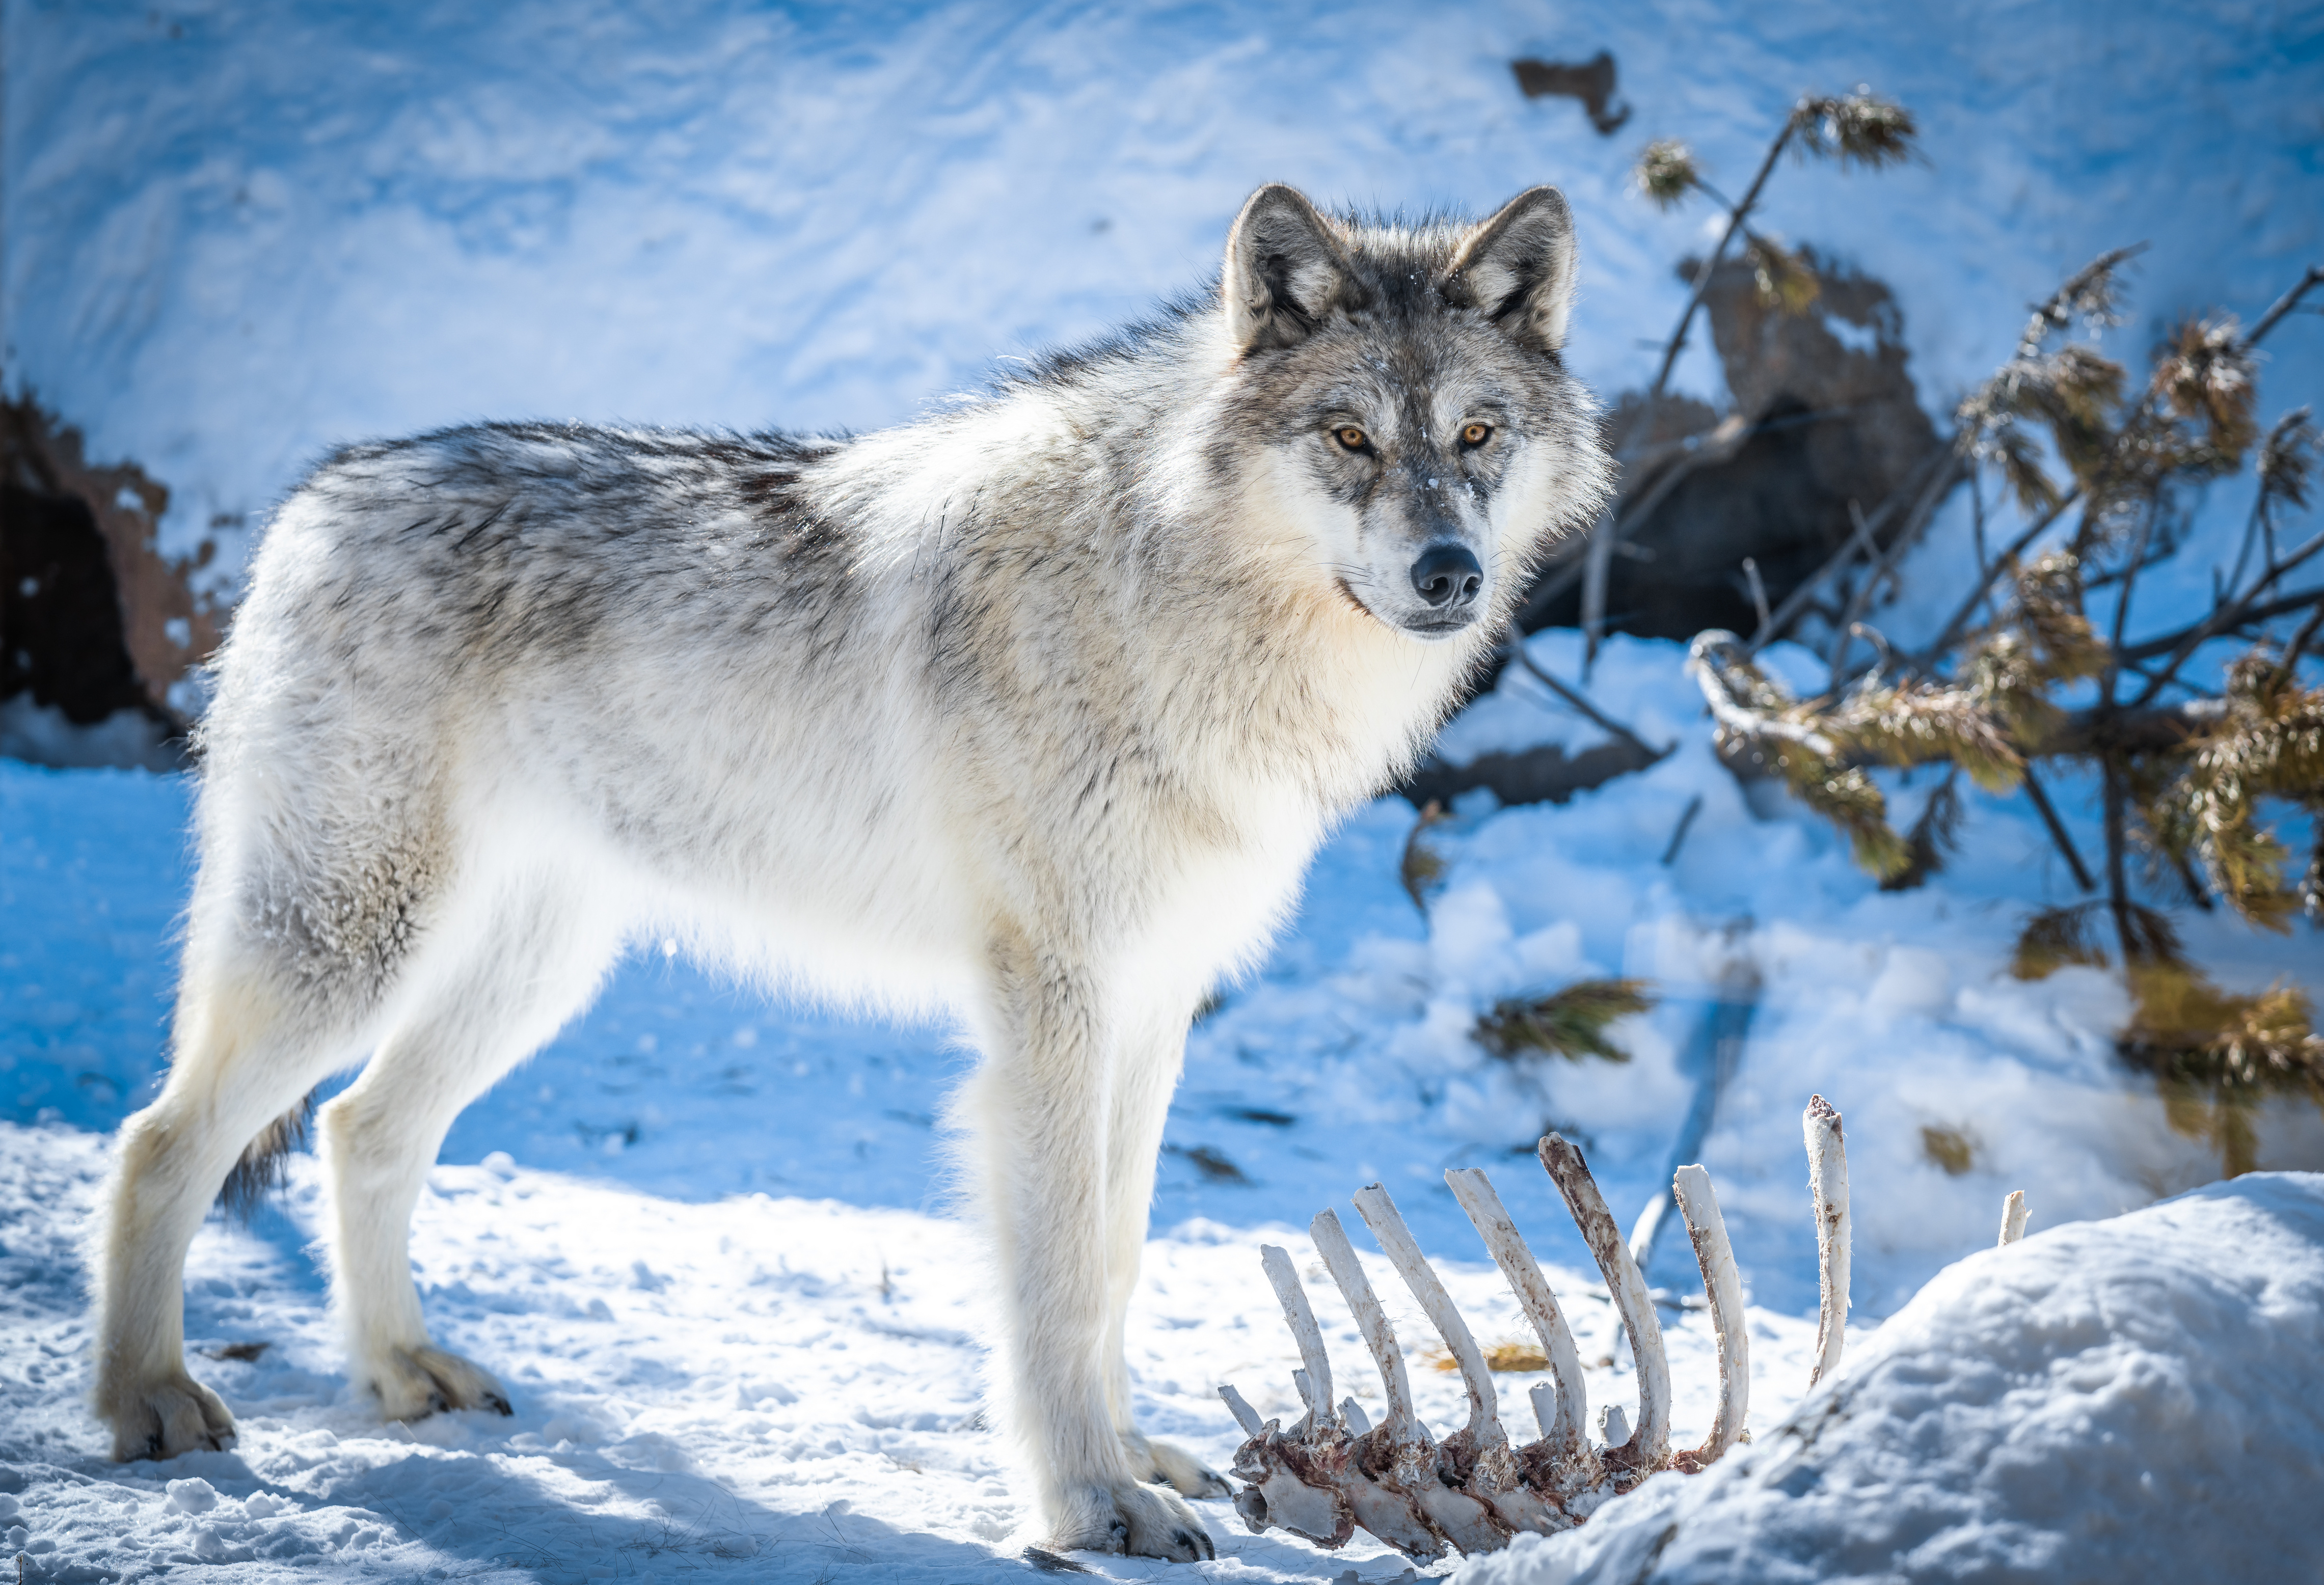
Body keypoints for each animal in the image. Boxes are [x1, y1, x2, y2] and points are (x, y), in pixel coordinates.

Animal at [95, 179, 1617, 1552]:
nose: (1446, 571)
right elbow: (1056, 1275)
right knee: (160, 1140)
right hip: (349, 950)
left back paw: (402, 1374)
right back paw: (149, 1401)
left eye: (1474, 434)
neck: (1174, 604)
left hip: (527, 974)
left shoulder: (1152, 1007)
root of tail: (313, 501)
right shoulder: (1051, 1011)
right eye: (1349, 436)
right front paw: (1089, 1504)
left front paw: (1133, 1458)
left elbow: (1118, 1257)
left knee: (361, 1128)